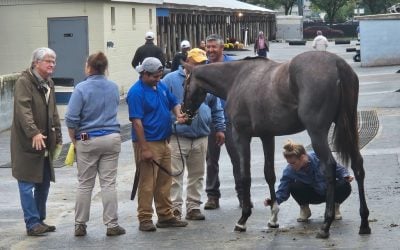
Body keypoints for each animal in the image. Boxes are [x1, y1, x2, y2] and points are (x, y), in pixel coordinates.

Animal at [183, 50, 370, 238]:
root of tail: (337, 63)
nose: (184, 113)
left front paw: (243, 219)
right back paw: (364, 222)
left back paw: (326, 225)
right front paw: (273, 218)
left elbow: (245, 176)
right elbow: (269, 174)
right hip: (349, 127)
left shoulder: (241, 136)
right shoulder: (267, 136)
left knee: (330, 167)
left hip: (317, 133)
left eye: (185, 84)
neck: (236, 78)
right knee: (358, 165)